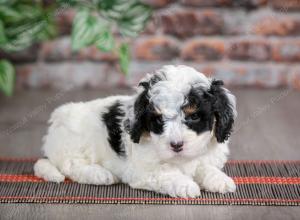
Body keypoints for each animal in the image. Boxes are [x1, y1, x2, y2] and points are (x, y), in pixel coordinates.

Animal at [34, 64, 237, 197]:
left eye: (194, 116)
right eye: (158, 119)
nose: (176, 145)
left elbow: (204, 166)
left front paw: (219, 179)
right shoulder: (142, 171)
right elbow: (165, 172)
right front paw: (185, 185)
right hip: (74, 142)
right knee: (71, 165)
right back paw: (99, 174)